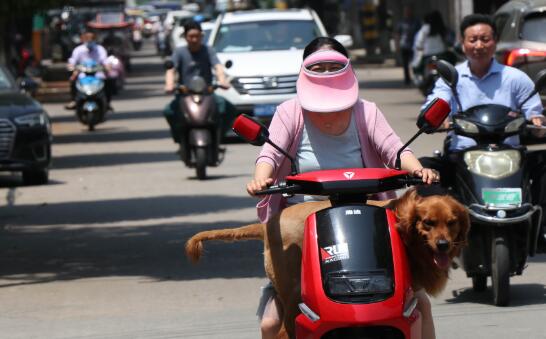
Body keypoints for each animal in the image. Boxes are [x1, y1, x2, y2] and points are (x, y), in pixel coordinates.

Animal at [185, 190, 466, 338]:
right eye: (428, 223)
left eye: (452, 223)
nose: (443, 245)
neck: (403, 226)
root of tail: (267, 224)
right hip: (292, 293)